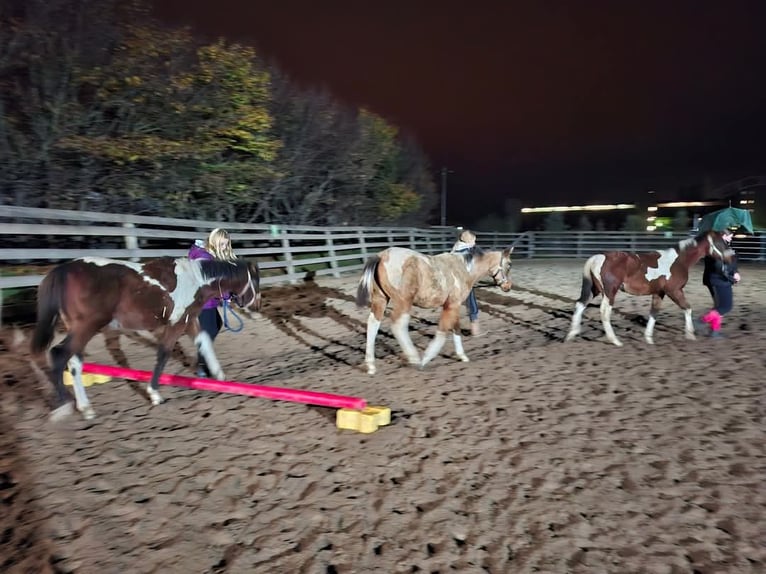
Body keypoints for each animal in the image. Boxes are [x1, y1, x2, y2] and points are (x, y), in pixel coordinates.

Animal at [30, 256, 260, 424]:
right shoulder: (175, 325)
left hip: (80, 329)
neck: (195, 280)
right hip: (86, 327)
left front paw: (220, 377)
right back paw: (65, 405)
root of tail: (63, 271)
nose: (256, 307)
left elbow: (204, 342)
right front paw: (155, 394)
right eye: (255, 282)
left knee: (74, 362)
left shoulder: (188, 321)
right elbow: (163, 354)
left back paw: (86, 408)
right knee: (59, 355)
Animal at [356, 245, 512, 376]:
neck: (464, 269)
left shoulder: (453, 305)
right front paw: (427, 357)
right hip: (404, 302)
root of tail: (381, 256)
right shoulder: (451, 305)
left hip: (381, 299)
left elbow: (456, 329)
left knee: (373, 324)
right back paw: (415, 359)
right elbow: (442, 332)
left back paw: (371, 365)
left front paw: (462, 356)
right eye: (509, 265)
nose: (508, 286)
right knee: (398, 325)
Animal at [568, 232, 736, 348]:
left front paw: (648, 338)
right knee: (604, 312)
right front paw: (690, 335)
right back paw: (615, 341)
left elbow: (654, 313)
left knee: (580, 304)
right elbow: (687, 308)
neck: (679, 260)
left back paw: (571, 335)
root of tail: (597, 257)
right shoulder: (674, 291)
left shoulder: (659, 293)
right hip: (610, 292)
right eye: (720, 242)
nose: (731, 257)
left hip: (594, 289)